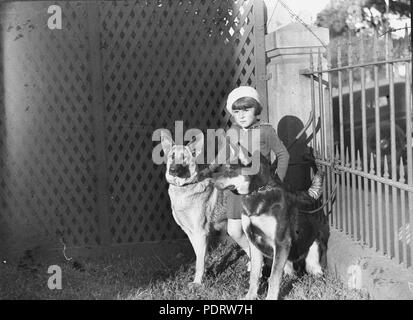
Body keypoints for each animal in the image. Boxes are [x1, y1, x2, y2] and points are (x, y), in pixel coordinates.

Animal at [159, 131, 227, 284]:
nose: (172, 170)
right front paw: (204, 275)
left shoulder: (200, 233)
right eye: (172, 156)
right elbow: (200, 257)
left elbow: (199, 262)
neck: (184, 188)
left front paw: (197, 283)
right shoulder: (191, 233)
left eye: (184, 157)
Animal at [211, 151, 326, 300]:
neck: (259, 190)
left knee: (314, 271)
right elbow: (254, 275)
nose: (210, 181)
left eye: (230, 169)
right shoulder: (254, 241)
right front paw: (250, 296)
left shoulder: (281, 242)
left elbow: (274, 278)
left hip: (312, 255)